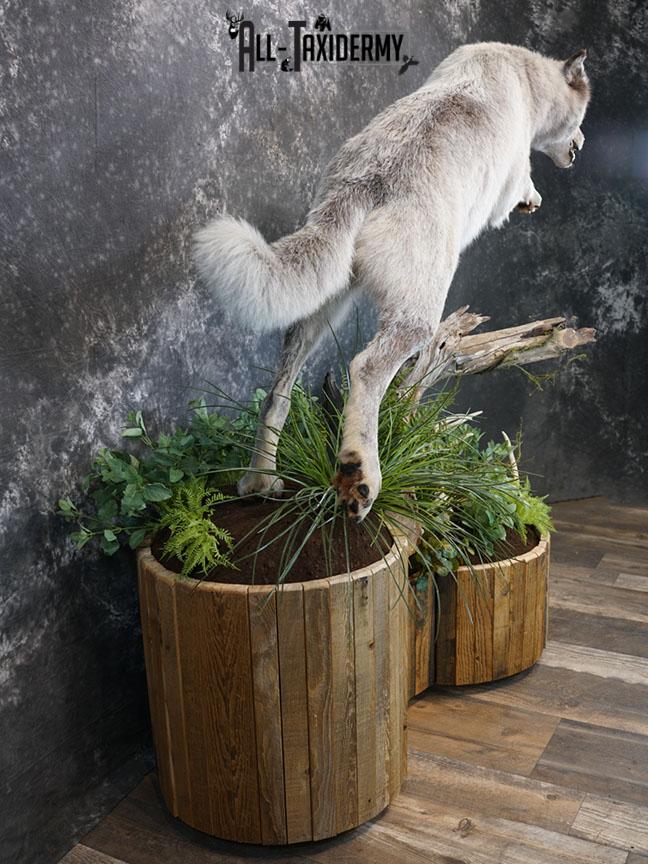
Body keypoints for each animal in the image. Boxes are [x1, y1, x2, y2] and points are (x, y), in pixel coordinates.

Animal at [194, 41, 591, 521]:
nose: (582, 146)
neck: (527, 79)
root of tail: (364, 182)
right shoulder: (511, 173)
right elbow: (523, 182)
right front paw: (531, 197)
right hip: (416, 316)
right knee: (365, 370)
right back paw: (360, 479)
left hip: (319, 313)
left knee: (277, 394)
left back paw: (260, 481)